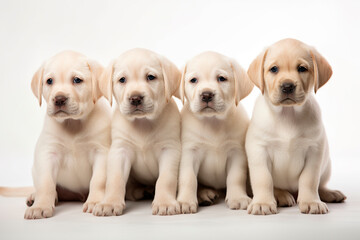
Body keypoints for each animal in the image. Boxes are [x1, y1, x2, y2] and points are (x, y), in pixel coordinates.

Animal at [25, 51, 111, 219]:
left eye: (77, 80)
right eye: (49, 81)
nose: (59, 99)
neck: (72, 123)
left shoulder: (101, 152)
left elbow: (98, 180)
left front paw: (95, 201)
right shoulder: (48, 153)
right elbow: (46, 183)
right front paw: (40, 206)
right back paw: (34, 197)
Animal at [93, 48, 181, 216]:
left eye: (151, 77)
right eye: (122, 80)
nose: (135, 98)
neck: (143, 123)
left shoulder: (169, 150)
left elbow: (165, 179)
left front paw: (164, 202)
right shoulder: (120, 150)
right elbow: (115, 179)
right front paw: (110, 202)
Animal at [176, 51, 253, 213]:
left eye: (221, 78)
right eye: (193, 80)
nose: (206, 95)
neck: (213, 121)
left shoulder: (237, 153)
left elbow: (236, 177)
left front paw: (238, 198)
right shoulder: (189, 152)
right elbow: (188, 178)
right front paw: (185, 201)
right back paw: (204, 194)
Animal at [246, 38, 344, 215]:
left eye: (302, 68)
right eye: (274, 69)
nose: (287, 86)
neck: (288, 113)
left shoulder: (314, 151)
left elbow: (309, 180)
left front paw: (311, 201)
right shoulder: (259, 150)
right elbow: (264, 179)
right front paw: (262, 202)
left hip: (327, 166)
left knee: (320, 184)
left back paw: (329, 193)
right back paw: (282, 196)